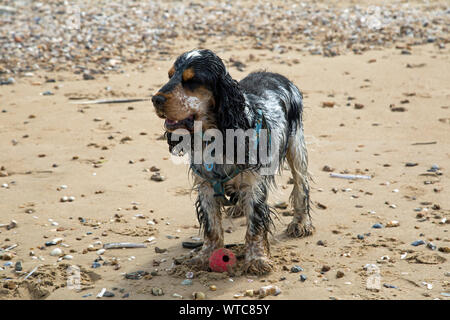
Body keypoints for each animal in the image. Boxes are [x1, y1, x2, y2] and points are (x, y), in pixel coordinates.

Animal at [152, 48, 312, 274]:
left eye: (192, 80)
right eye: (169, 75)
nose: (155, 99)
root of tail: (277, 75)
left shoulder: (254, 184)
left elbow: (255, 226)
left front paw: (257, 260)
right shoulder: (206, 185)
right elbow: (211, 226)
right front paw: (205, 256)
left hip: (296, 146)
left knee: (301, 186)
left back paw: (301, 223)